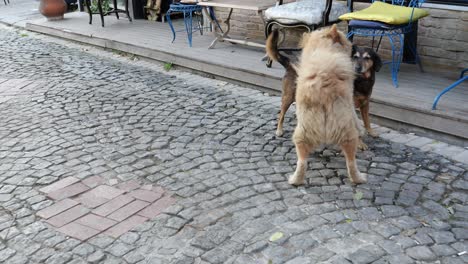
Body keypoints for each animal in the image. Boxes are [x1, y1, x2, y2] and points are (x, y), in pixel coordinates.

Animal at [288, 24, 366, 186]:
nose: (352, 45)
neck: (324, 47)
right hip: (348, 134)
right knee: (351, 162)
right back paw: (360, 178)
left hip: (302, 135)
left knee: (302, 161)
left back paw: (295, 180)